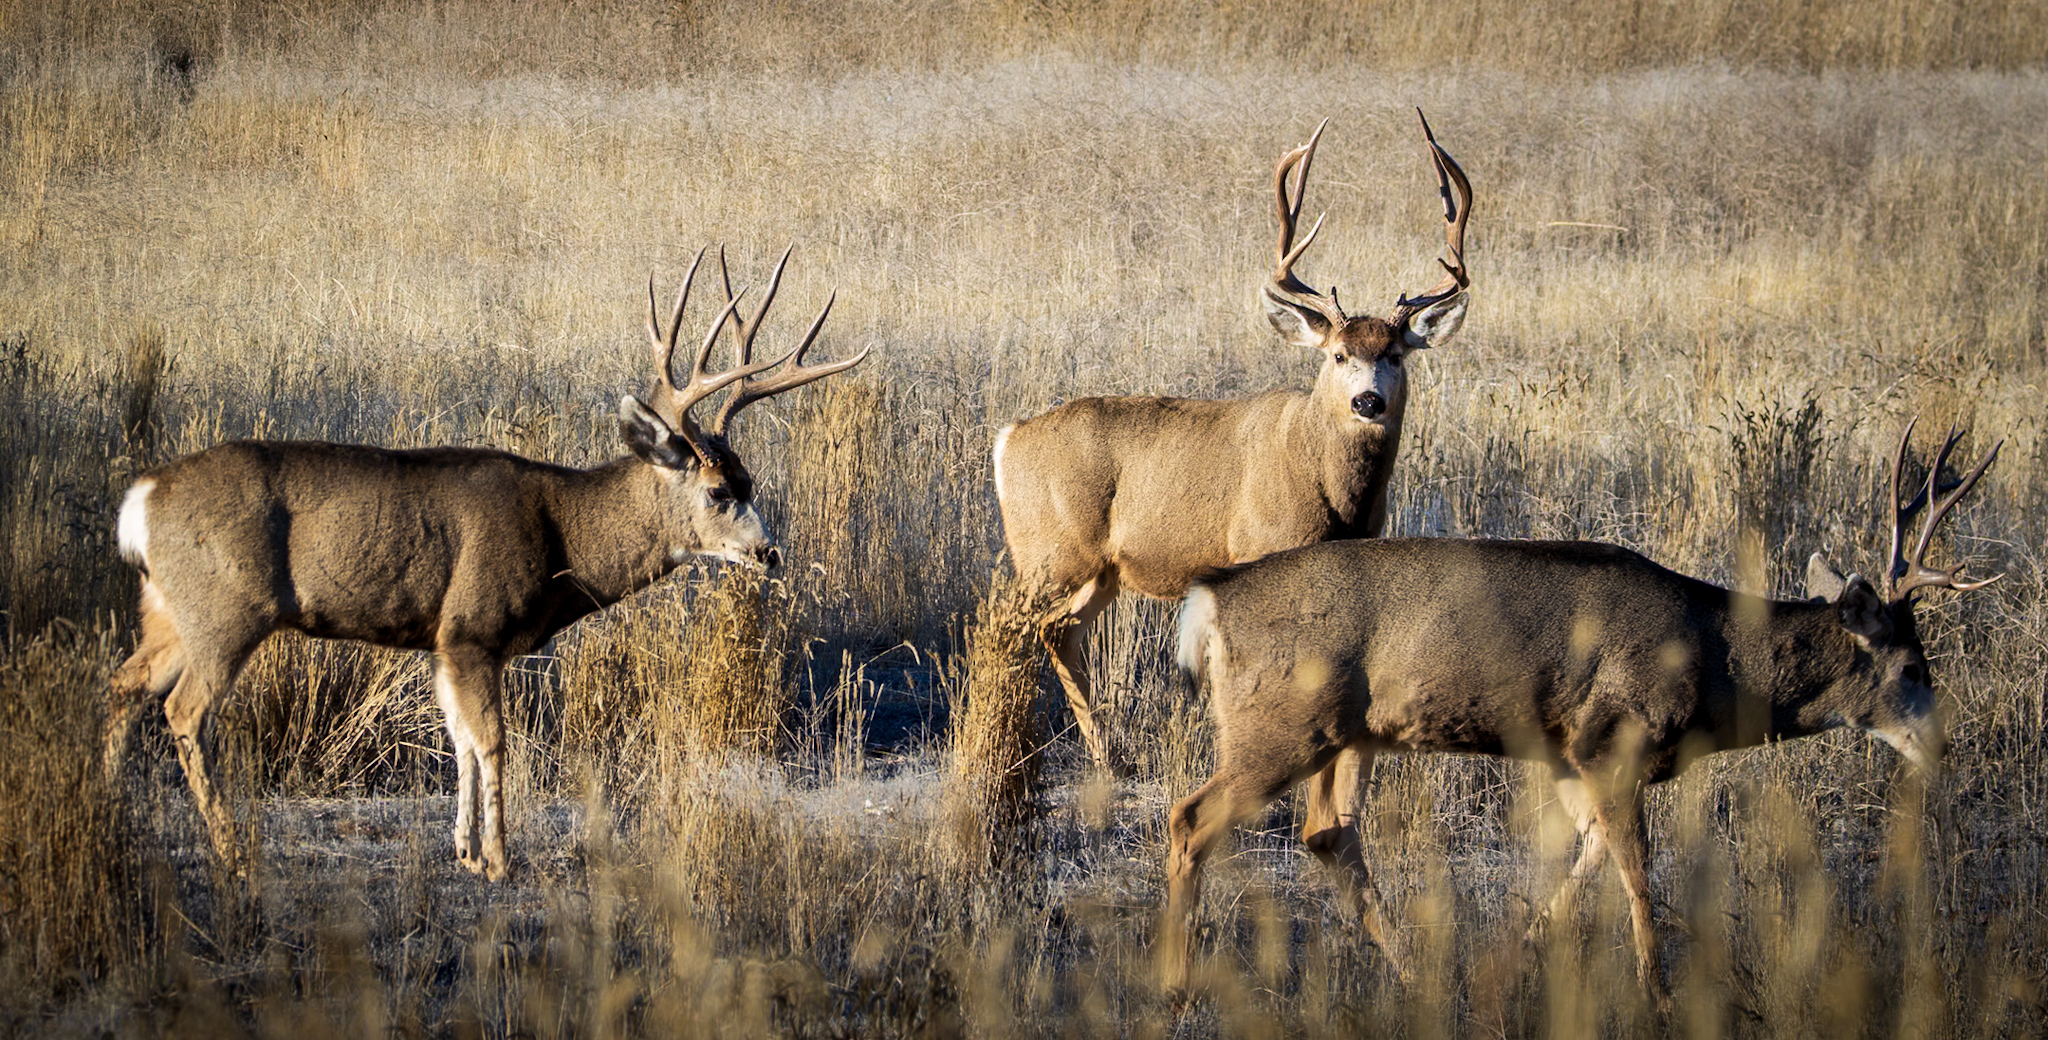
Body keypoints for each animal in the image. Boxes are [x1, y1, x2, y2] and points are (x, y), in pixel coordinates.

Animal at [104, 246, 868, 881]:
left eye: (751, 481)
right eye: (717, 492)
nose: (769, 552)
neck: (563, 533)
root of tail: (143, 499)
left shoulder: (445, 642)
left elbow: (461, 742)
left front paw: (466, 852)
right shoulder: (473, 626)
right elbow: (494, 742)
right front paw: (501, 860)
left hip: (168, 610)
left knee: (122, 686)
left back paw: (112, 816)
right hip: (226, 609)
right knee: (182, 710)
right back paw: (230, 851)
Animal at [993, 112, 1472, 776]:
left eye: (1396, 354)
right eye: (1338, 353)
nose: (1368, 402)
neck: (1332, 491)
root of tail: (1008, 438)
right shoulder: (1258, 548)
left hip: (1100, 568)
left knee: (1058, 632)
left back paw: (1109, 758)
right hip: (1048, 549)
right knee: (1007, 625)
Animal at [1162, 421, 2001, 1004]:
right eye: (1913, 667)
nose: (1943, 745)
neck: (1715, 657)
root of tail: (1209, 601)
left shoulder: (1569, 756)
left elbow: (1592, 853)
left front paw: (1514, 961)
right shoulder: (1612, 738)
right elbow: (1634, 865)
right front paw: (1658, 994)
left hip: (1350, 735)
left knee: (1327, 834)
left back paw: (1411, 977)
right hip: (1279, 724)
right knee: (1192, 818)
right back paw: (1175, 985)